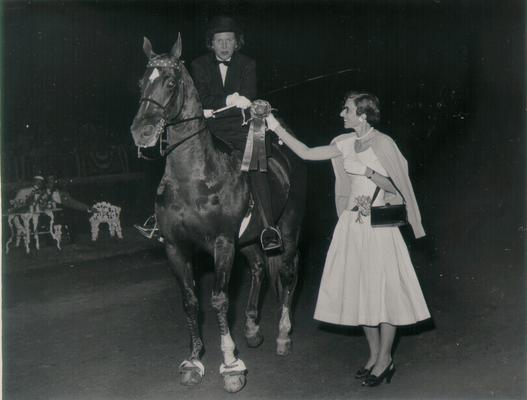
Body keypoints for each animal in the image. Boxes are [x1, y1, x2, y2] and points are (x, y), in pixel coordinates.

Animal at [129, 36, 308, 392]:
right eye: (142, 83)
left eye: (170, 83)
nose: (142, 132)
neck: (193, 179)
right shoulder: (176, 248)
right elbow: (190, 301)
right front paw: (193, 360)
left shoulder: (222, 244)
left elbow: (219, 300)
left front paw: (230, 364)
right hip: (250, 239)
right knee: (258, 269)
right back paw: (252, 329)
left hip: (289, 229)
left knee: (286, 275)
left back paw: (283, 336)